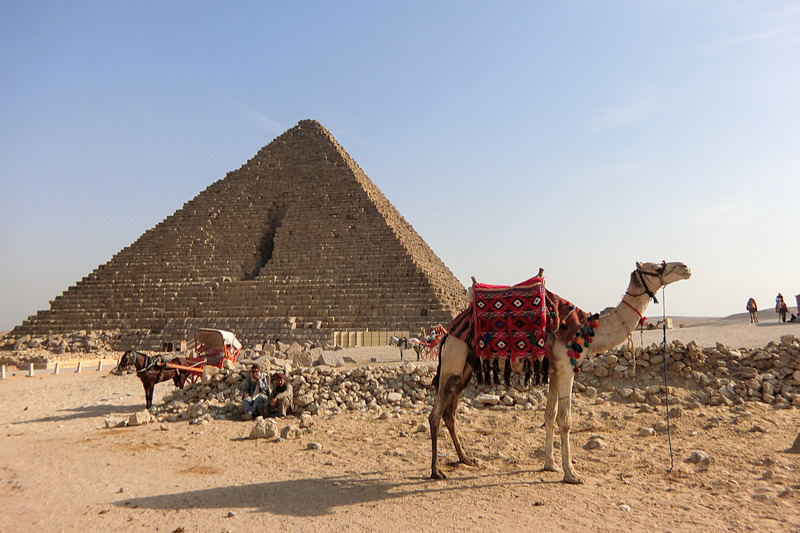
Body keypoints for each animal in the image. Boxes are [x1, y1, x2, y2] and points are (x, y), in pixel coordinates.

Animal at [428, 260, 692, 484]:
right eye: (656, 268)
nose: (686, 268)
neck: (588, 331)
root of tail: (447, 334)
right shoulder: (566, 369)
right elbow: (565, 420)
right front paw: (571, 473)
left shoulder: (554, 372)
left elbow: (549, 416)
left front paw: (550, 464)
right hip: (453, 361)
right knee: (435, 414)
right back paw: (436, 471)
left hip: (465, 369)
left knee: (450, 413)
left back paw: (466, 459)